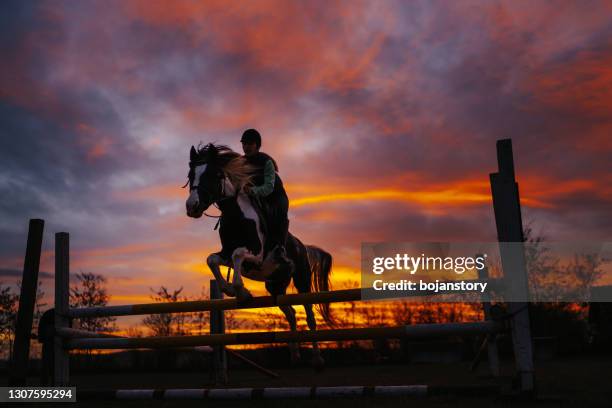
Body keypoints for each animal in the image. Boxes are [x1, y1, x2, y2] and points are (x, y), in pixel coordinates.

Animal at [184, 143, 334, 366]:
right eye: (190, 175)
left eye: (212, 175)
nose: (191, 207)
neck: (235, 213)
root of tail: (303, 246)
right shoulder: (225, 253)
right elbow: (212, 259)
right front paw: (229, 289)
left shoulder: (257, 254)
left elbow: (238, 255)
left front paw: (241, 292)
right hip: (275, 286)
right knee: (291, 313)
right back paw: (295, 355)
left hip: (302, 281)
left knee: (309, 316)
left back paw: (317, 359)